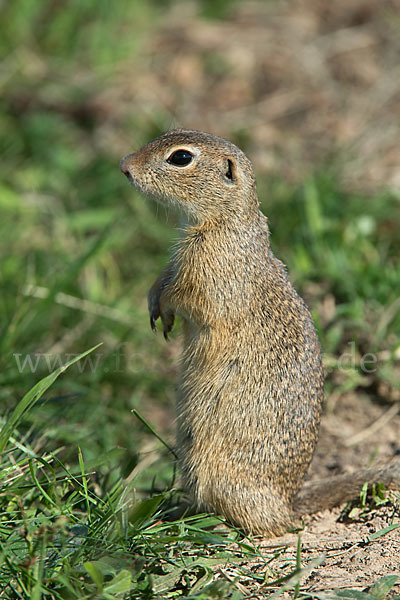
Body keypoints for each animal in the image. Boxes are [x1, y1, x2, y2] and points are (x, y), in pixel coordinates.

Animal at [119, 130, 400, 536]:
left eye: (181, 158)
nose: (124, 166)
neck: (224, 223)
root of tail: (289, 505)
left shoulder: (211, 275)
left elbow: (185, 294)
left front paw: (165, 307)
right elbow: (163, 278)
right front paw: (153, 303)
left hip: (220, 475)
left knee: (263, 525)